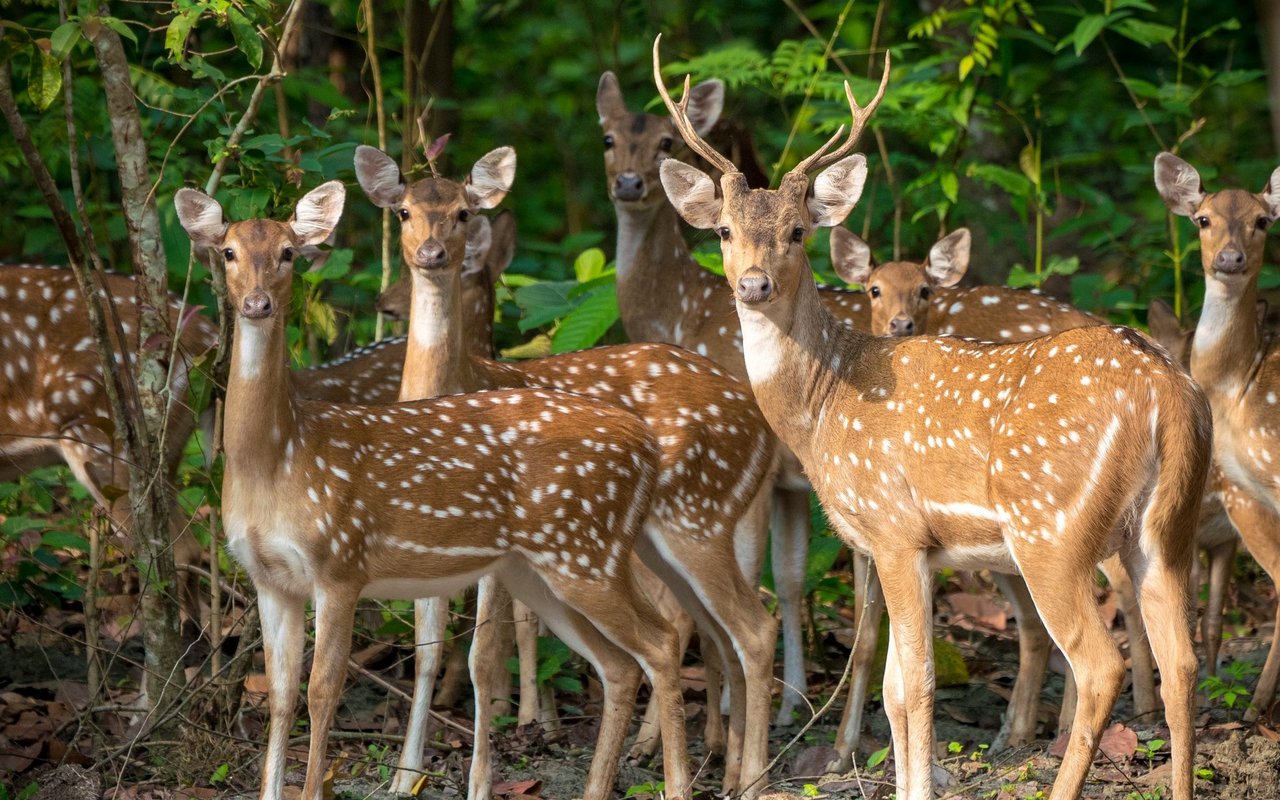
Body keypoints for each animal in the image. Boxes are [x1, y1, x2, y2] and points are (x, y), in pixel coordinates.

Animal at [175, 179, 696, 798]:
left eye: (287, 253)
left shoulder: (340, 562)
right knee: (618, 664)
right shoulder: (270, 578)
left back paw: (677, 782)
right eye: (229, 252)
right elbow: (279, 695)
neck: (277, 459)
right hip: (539, 570)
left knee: (659, 642)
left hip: (585, 552)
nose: (257, 304)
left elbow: (321, 693)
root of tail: (647, 447)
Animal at [355, 143, 778, 798]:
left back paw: (739, 774)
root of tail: (760, 424)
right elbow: (426, 649)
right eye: (403, 212)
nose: (432, 255)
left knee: (741, 628)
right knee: (716, 628)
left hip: (694, 521)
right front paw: (405, 777)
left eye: (462, 213)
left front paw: (481, 778)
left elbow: (482, 653)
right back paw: (721, 765)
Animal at [596, 68, 880, 721]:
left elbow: (754, 576)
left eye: (798, 230)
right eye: (608, 138)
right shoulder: (791, 484)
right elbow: (792, 578)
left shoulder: (758, 473)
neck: (681, 313)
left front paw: (738, 706)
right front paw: (788, 702)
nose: (754, 283)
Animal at [660, 39, 1208, 798]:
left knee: (1103, 663)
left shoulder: (893, 528)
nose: (753, 283)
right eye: (722, 230)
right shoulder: (905, 546)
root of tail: (1166, 393)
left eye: (798, 231)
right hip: (1165, 528)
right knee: (1185, 661)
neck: (823, 404)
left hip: (1053, 527)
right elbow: (893, 688)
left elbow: (915, 684)